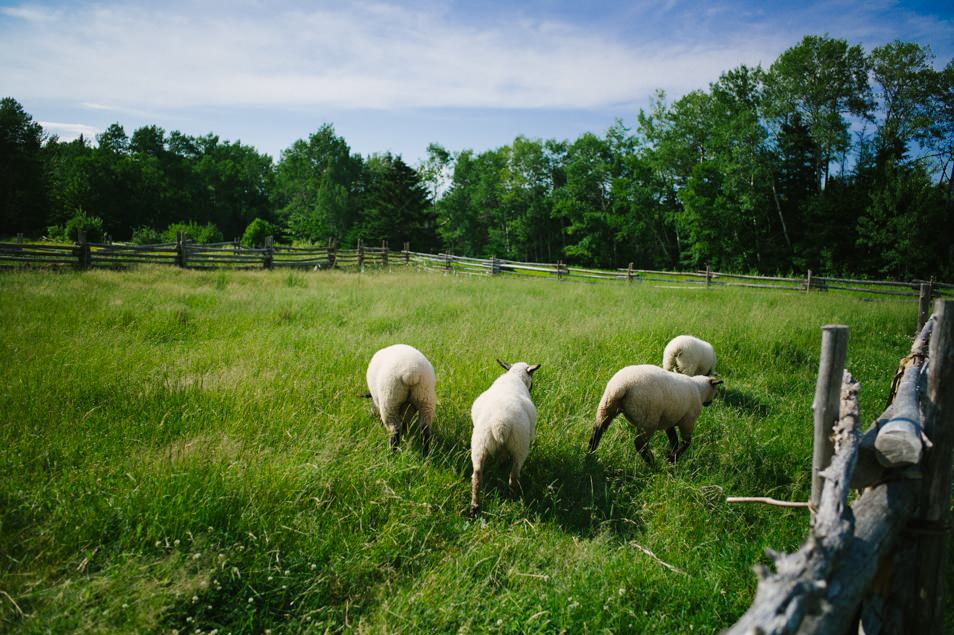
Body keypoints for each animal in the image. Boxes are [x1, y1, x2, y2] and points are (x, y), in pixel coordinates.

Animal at [466, 358, 536, 516]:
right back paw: (513, 497)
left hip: (479, 443)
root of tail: (501, 422)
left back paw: (474, 507)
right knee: (514, 476)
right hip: (520, 445)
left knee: (477, 476)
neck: (515, 376)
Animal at [584, 366, 716, 464]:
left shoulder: (669, 420)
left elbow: (674, 439)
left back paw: (590, 454)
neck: (699, 390)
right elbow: (686, 442)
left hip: (606, 407)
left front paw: (672, 457)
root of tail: (621, 386)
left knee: (597, 430)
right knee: (639, 443)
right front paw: (672, 458)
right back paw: (652, 463)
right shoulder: (688, 420)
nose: (709, 403)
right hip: (648, 419)